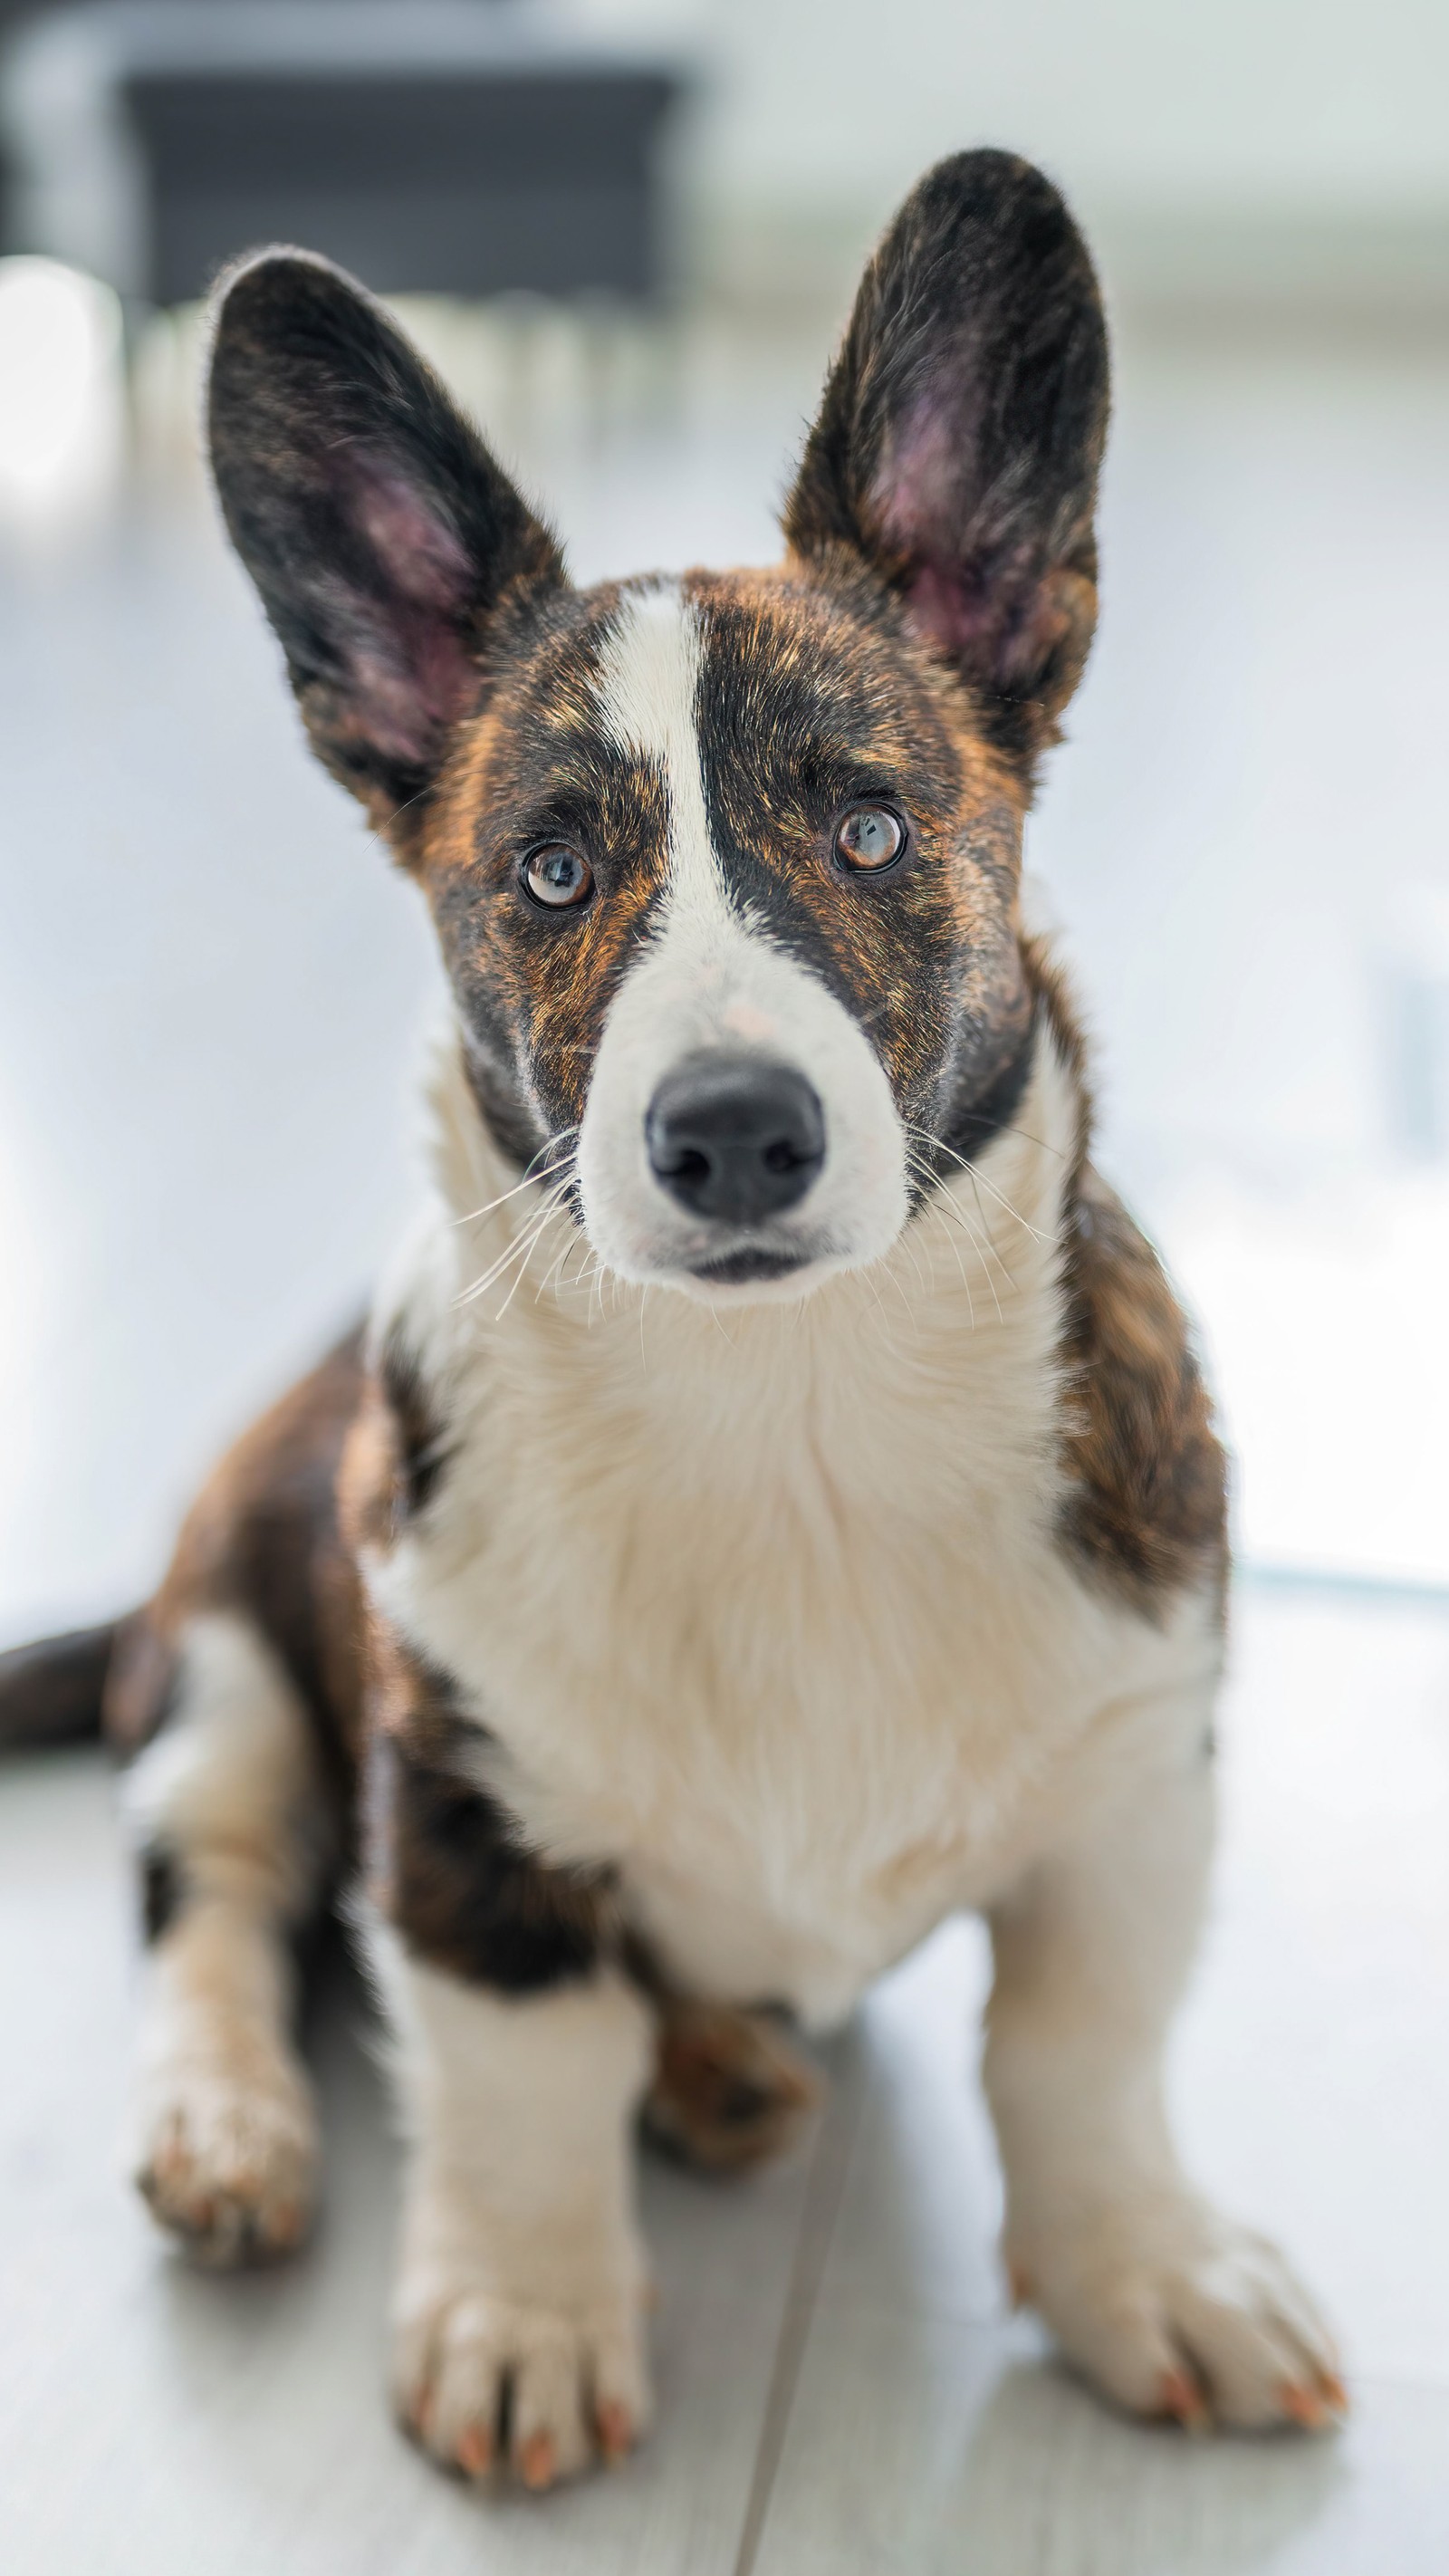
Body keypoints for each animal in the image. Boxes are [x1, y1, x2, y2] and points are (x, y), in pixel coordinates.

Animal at [0, 150, 1348, 2483]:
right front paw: (526, 2322)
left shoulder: (1128, 1797)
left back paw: (715, 2066)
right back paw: (231, 2127)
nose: (731, 1134)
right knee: (217, 1902)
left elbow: (1078, 2062)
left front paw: (1146, 2276)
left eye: (873, 825)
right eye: (548, 872)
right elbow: (519, 2079)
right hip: (232, 1664)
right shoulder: (454, 1812)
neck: (782, 1417)